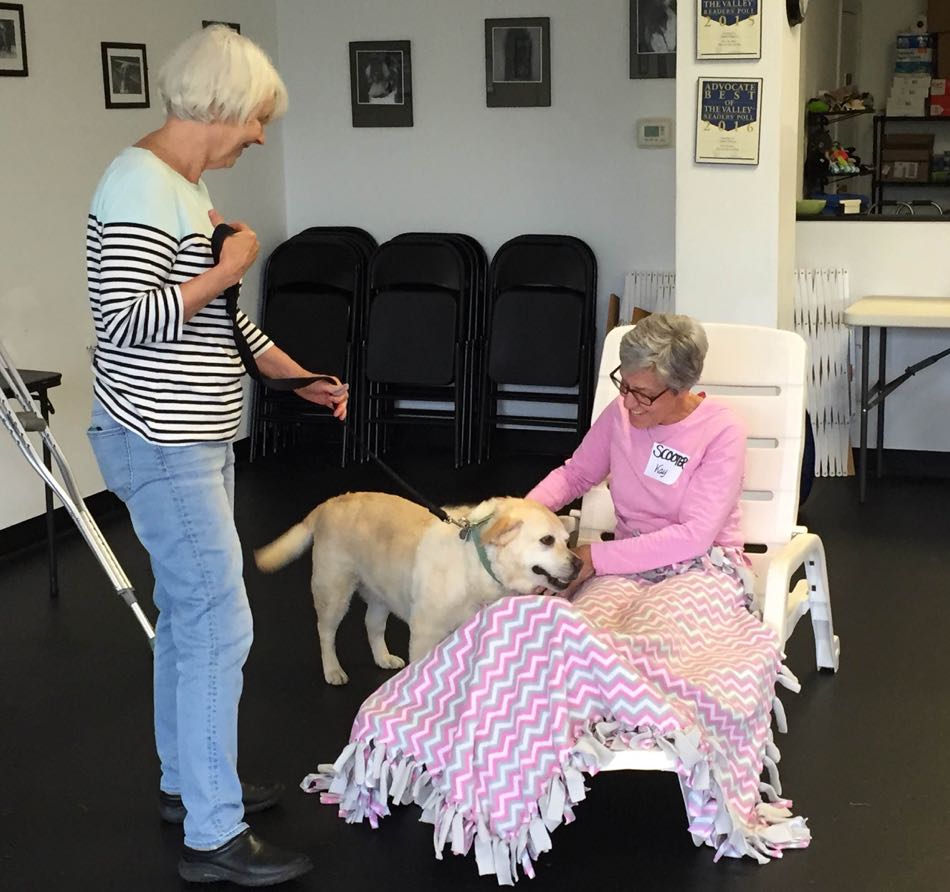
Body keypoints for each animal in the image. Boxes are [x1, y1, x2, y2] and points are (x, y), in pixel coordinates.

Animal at [253, 492, 580, 688]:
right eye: (547, 540)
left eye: (567, 541)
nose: (578, 563)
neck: (478, 560)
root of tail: (327, 504)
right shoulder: (425, 631)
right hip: (334, 592)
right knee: (325, 632)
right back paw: (332, 669)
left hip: (382, 592)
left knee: (372, 625)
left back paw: (383, 657)